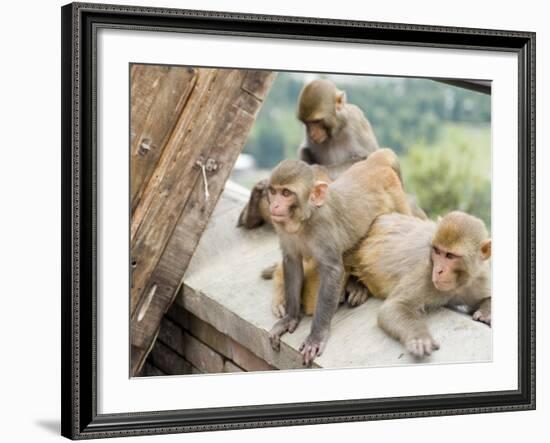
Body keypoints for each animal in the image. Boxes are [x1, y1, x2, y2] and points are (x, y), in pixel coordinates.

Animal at [266, 148, 412, 364]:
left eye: (286, 193)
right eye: (273, 191)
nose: (274, 206)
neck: (305, 221)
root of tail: (375, 162)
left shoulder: (324, 229)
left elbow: (333, 271)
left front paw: (316, 336)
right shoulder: (284, 230)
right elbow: (292, 262)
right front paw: (291, 318)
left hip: (397, 199)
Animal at [268, 212, 492, 360]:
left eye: (450, 256)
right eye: (437, 251)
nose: (438, 271)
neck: (459, 284)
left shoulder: (480, 277)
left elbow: (485, 297)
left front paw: (485, 312)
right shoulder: (425, 276)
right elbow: (393, 308)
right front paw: (420, 338)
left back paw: (357, 287)